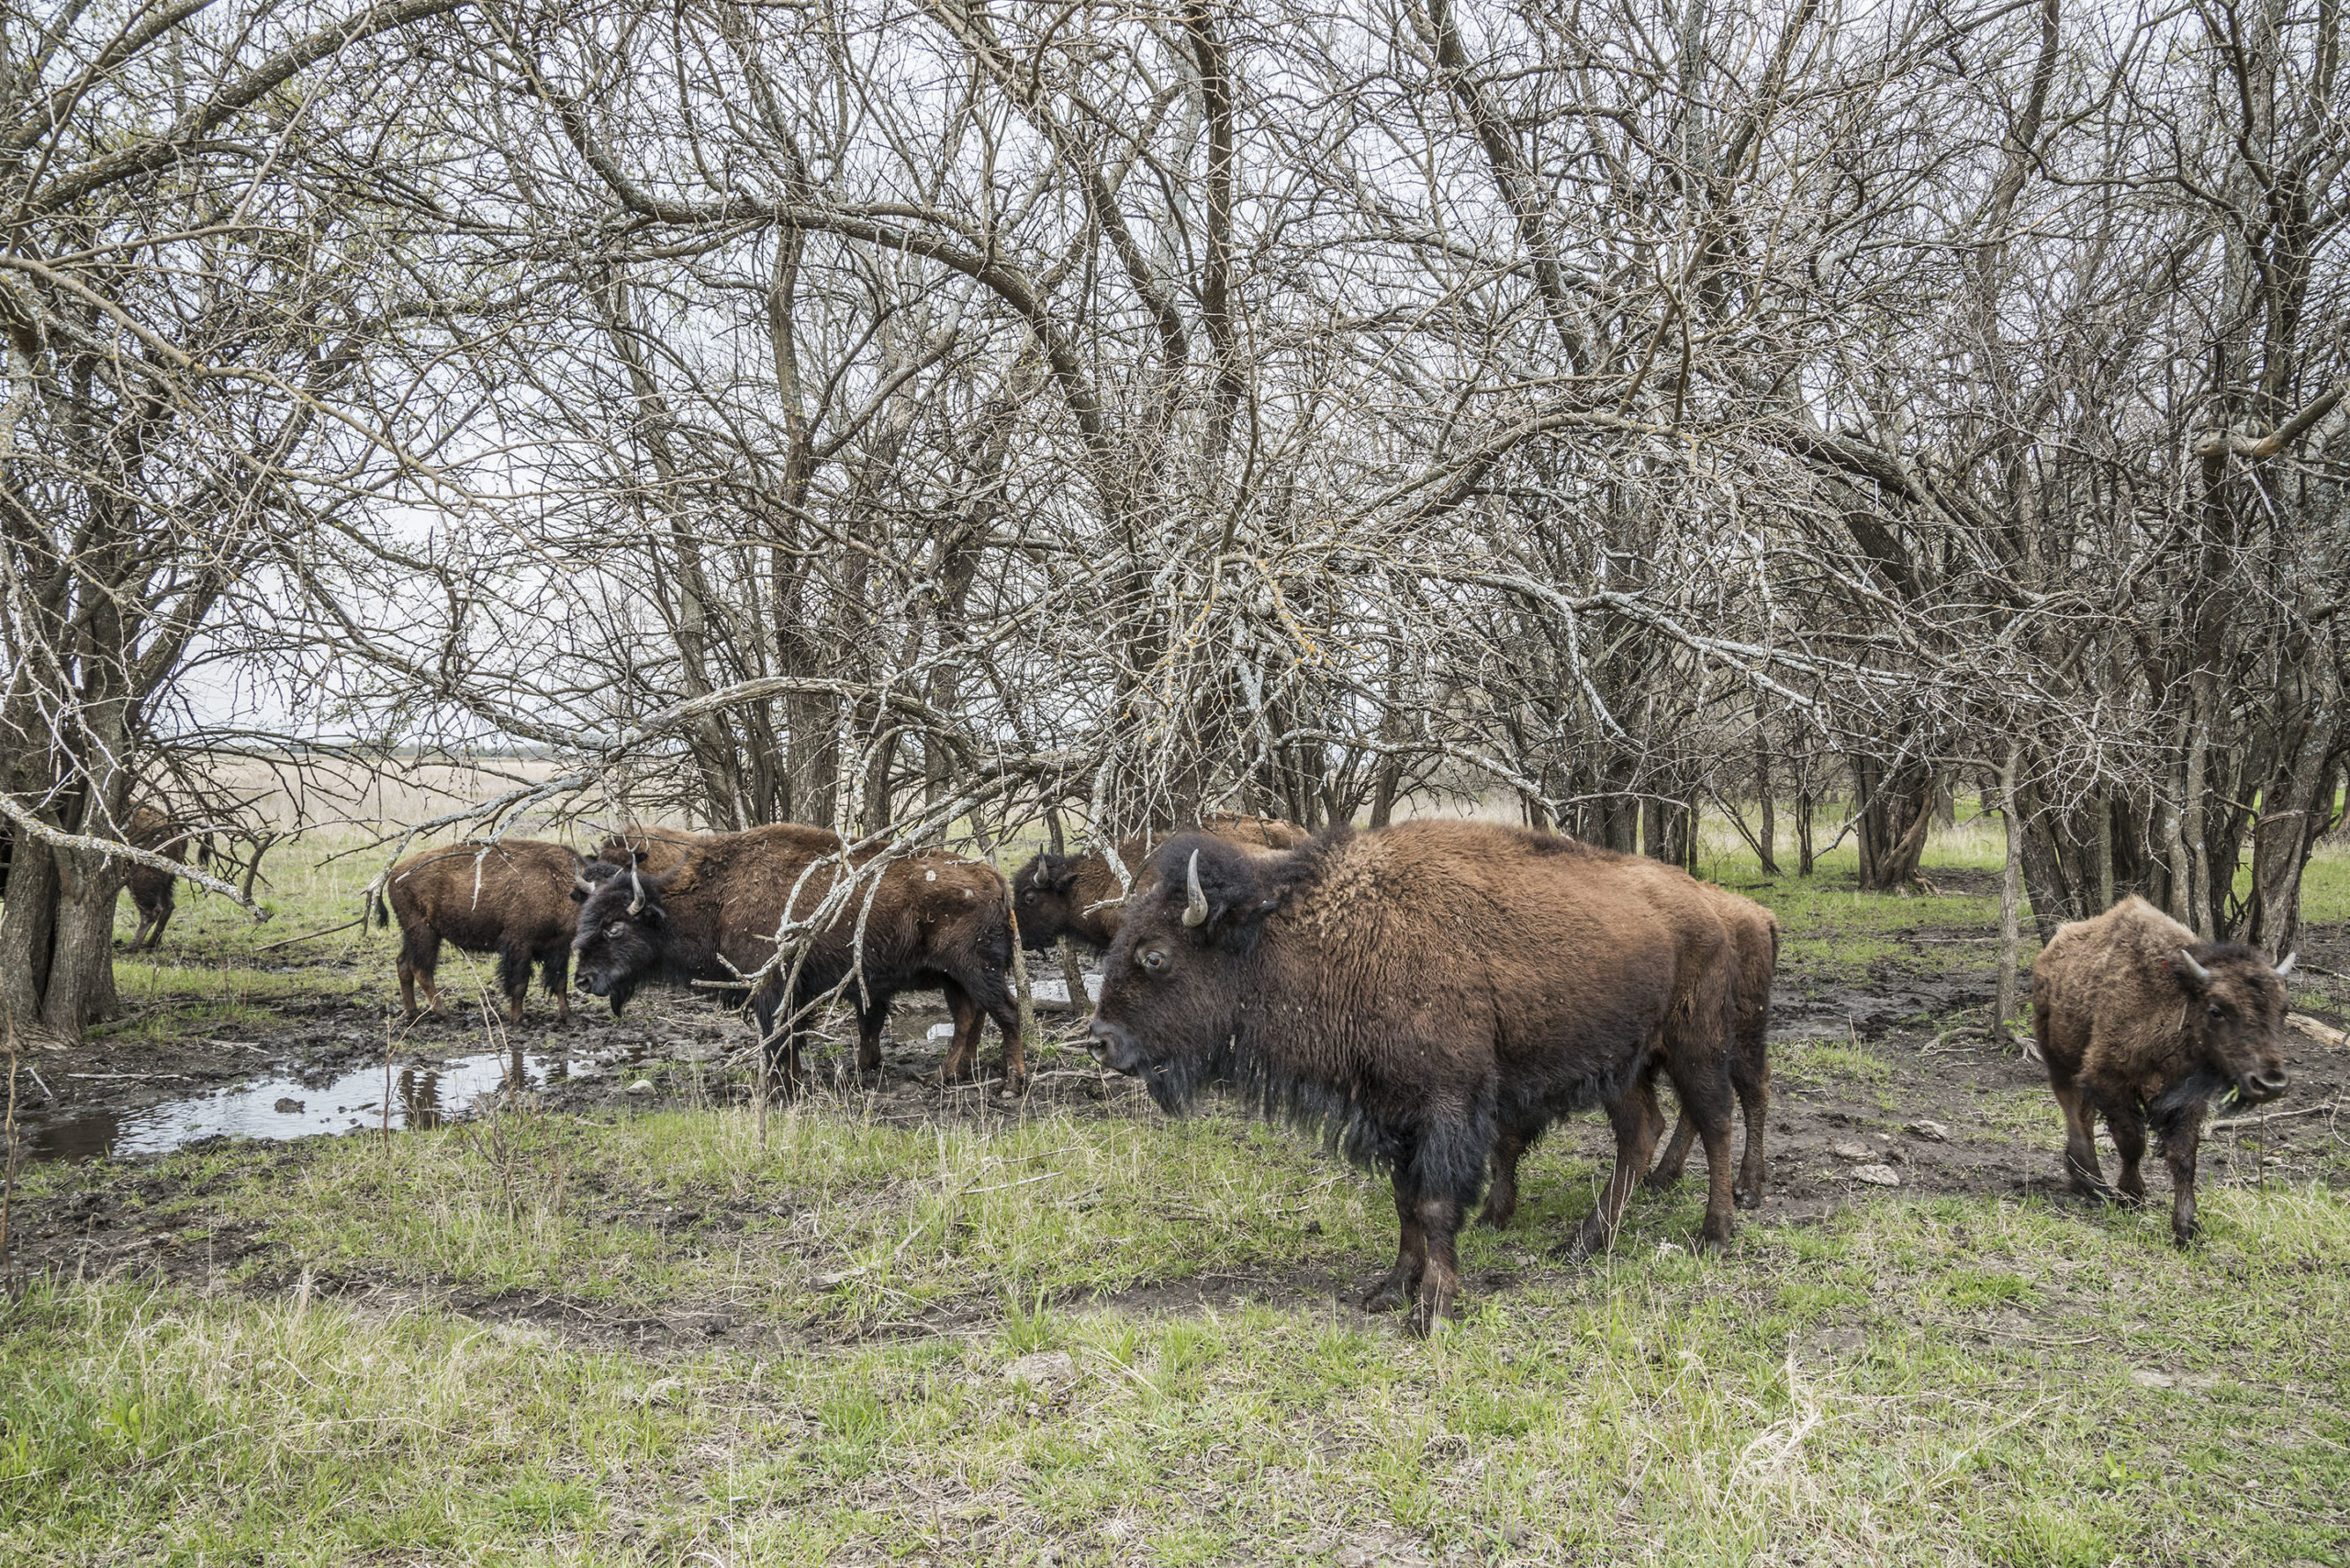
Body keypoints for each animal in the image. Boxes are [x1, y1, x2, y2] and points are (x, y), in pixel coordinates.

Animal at [374, 841, 597, 1025]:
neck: (558, 885)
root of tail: (394, 873)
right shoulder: (519, 945)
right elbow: (519, 984)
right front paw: (519, 1019)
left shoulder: (559, 948)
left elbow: (560, 983)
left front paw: (569, 1018)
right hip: (424, 934)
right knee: (421, 969)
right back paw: (445, 1015)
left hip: (412, 934)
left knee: (403, 963)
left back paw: (412, 1013)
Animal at [571, 823, 1029, 1091]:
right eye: (585, 920)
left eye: (614, 928)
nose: (583, 979)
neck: (715, 899)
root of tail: (994, 878)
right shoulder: (792, 992)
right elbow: (792, 1037)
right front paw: (791, 1082)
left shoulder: (772, 988)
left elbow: (778, 1038)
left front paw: (779, 1089)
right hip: (954, 976)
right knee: (968, 1016)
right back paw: (945, 1075)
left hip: (976, 969)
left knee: (1006, 1011)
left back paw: (1012, 1081)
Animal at [1085, 823, 1748, 1335]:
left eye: (1155, 956)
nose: (1100, 1040)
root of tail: (1708, 904)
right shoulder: (1392, 1112)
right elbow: (1405, 1202)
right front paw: (1390, 1288)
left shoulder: (1445, 1107)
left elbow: (1434, 1204)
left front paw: (1433, 1308)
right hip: (1622, 1066)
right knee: (1640, 1131)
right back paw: (1586, 1242)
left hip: (1694, 1046)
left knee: (1716, 1121)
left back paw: (1715, 1232)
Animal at [2030, 893, 2284, 1250]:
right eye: (2216, 1010)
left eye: (2283, 1009)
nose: (2270, 1083)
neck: (2174, 1001)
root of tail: (2051, 950)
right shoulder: (2109, 1078)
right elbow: (2132, 1142)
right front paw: (2132, 1197)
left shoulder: (2185, 1098)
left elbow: (2184, 1156)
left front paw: (2187, 1229)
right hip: (2059, 1058)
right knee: (2075, 1111)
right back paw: (2092, 1184)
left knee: (2083, 1113)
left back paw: (2088, 1180)